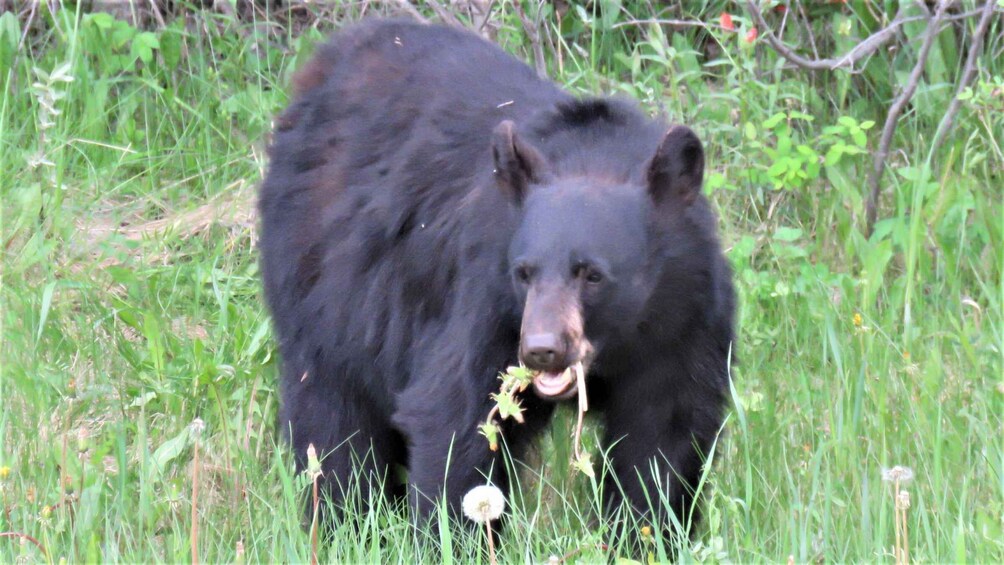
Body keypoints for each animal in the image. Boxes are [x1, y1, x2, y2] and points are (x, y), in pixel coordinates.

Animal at [259, 18, 730, 537]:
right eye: (523, 273)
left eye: (592, 275)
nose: (541, 348)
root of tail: (320, 65)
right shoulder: (486, 301)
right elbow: (454, 418)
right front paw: (450, 538)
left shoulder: (685, 321)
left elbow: (662, 439)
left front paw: (644, 535)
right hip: (320, 278)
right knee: (332, 415)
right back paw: (344, 523)